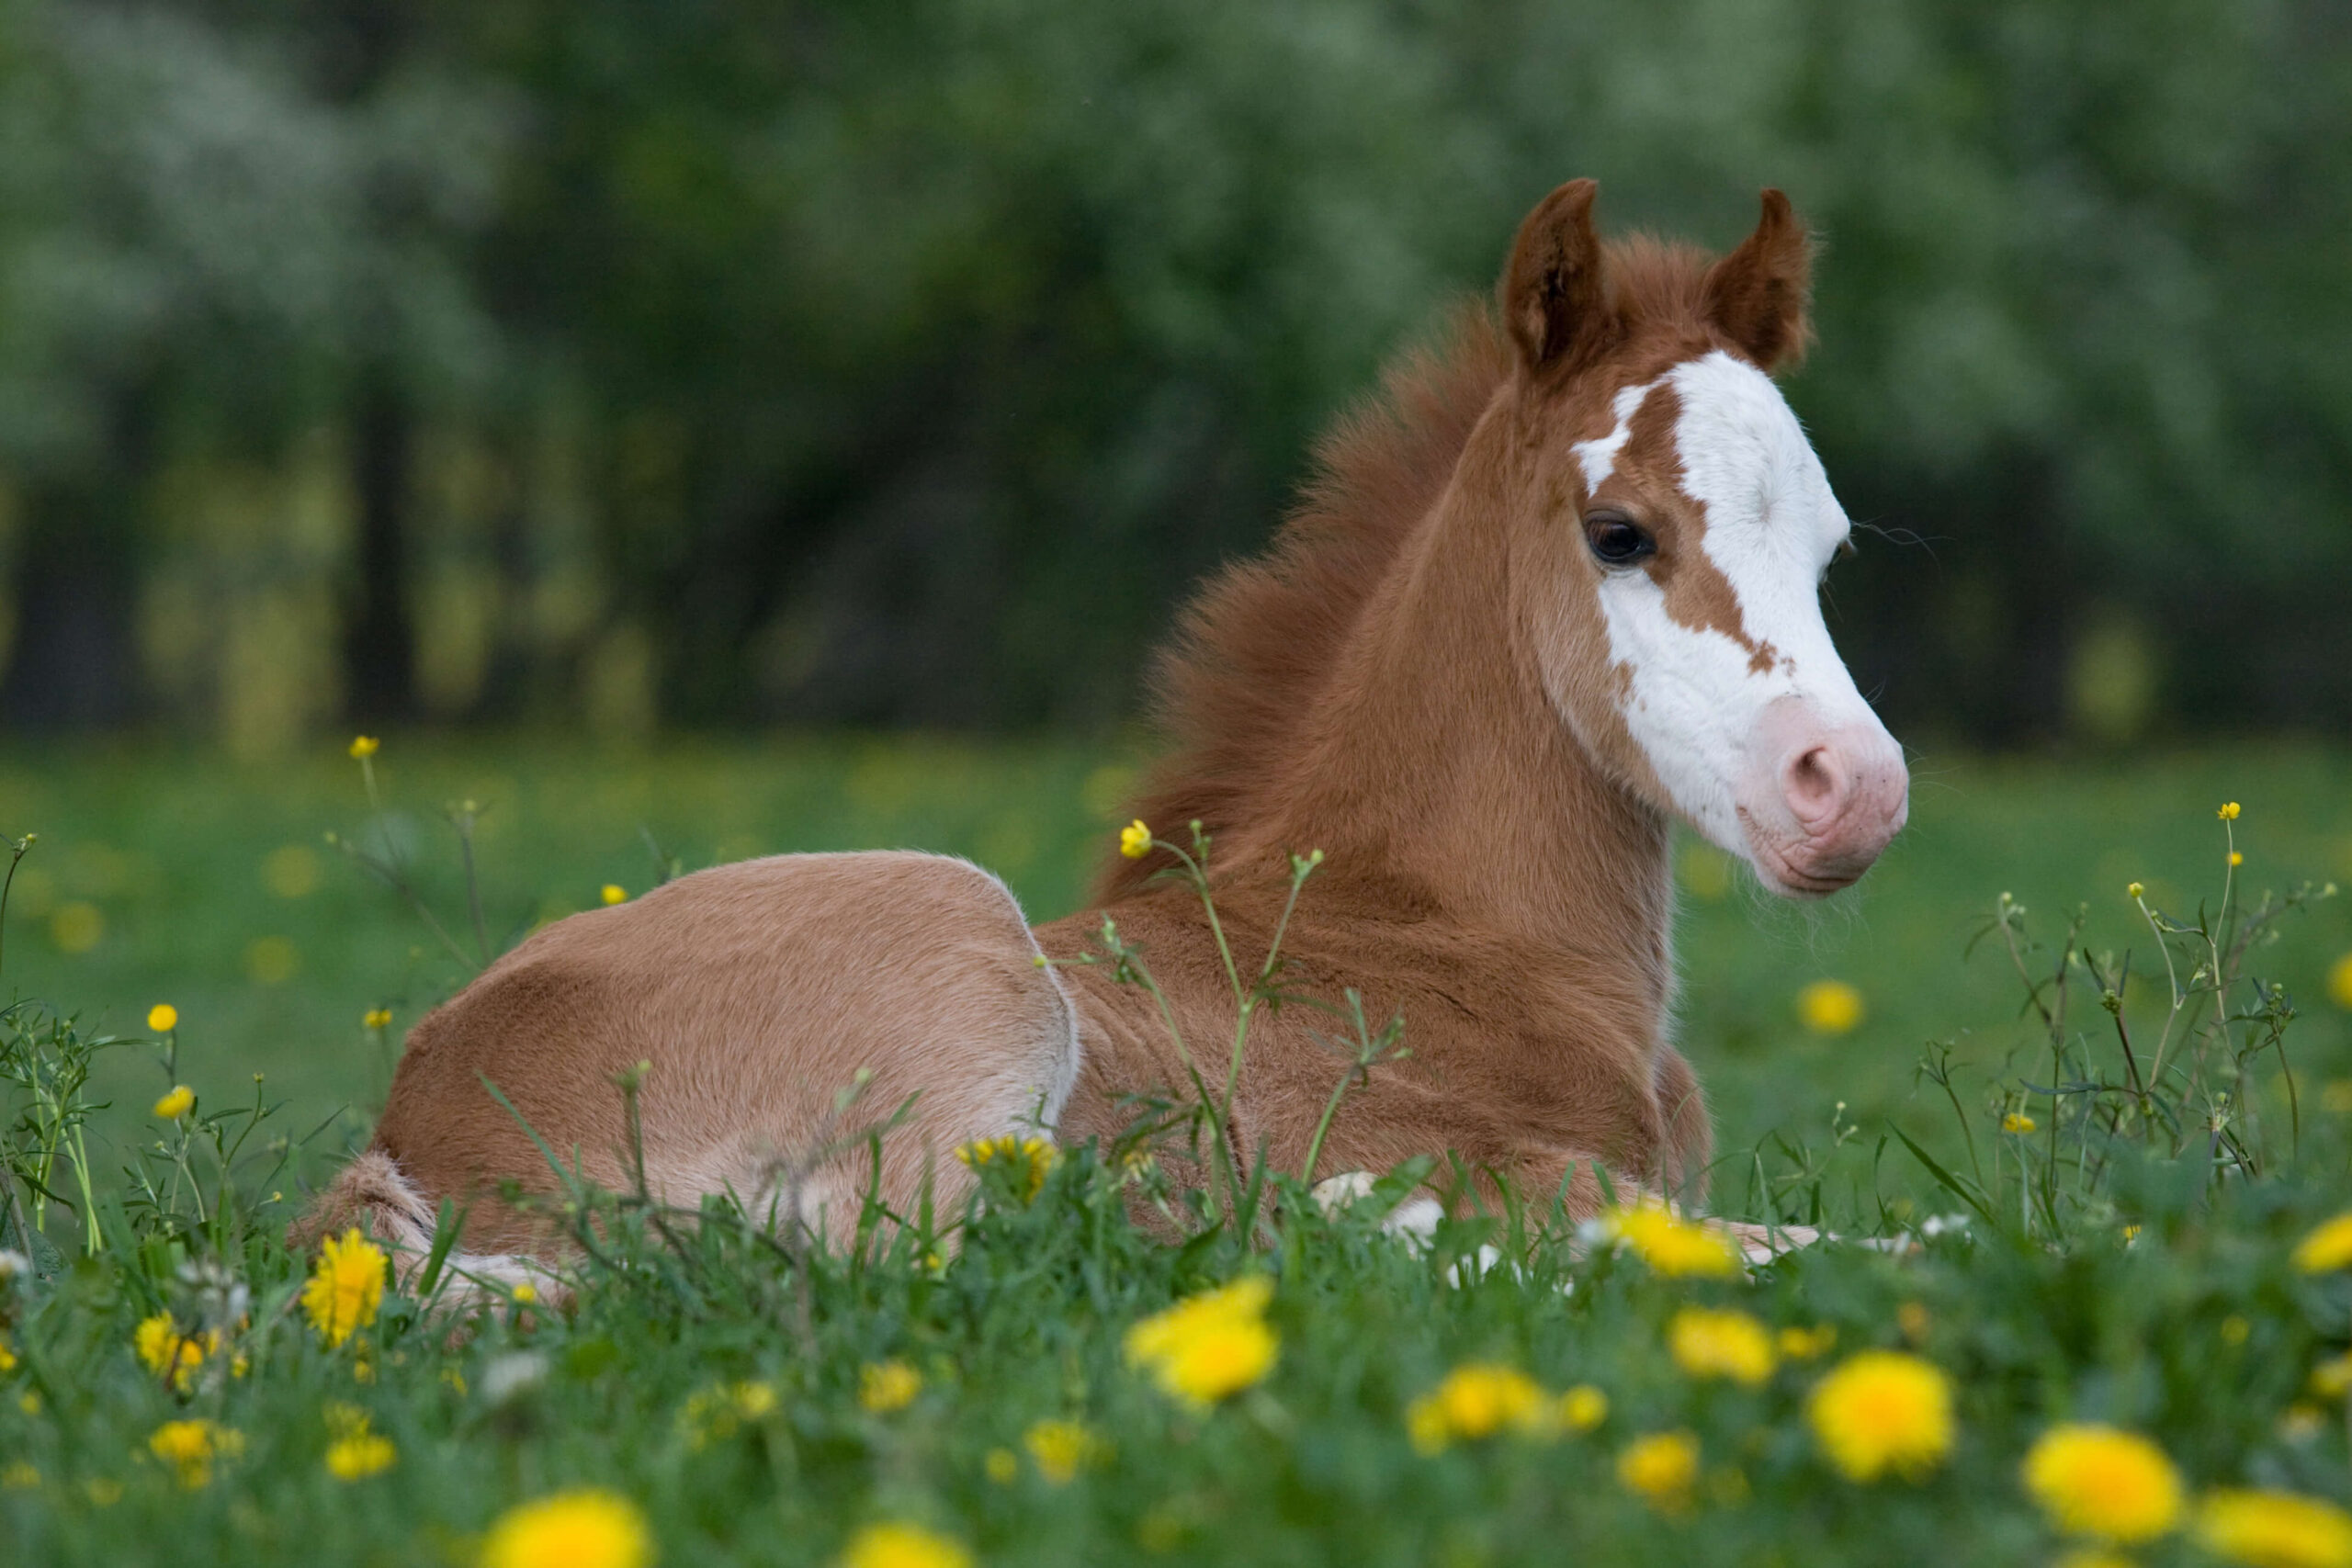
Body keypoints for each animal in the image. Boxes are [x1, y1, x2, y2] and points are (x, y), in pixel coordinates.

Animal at [298, 180, 1907, 1283]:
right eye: (1620, 530)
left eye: (1832, 546)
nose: (1855, 789)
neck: (1431, 933)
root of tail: (415, 1118)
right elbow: (1881, 1248)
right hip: (955, 937)